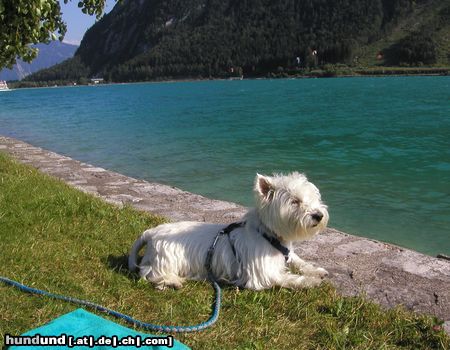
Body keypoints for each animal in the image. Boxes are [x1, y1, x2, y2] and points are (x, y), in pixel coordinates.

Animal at [128, 172, 328, 290]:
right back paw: (173, 281)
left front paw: (317, 271)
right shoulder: (263, 273)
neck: (268, 233)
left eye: (314, 198)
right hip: (165, 259)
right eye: (295, 201)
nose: (318, 215)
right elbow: (289, 278)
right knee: (151, 273)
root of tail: (151, 233)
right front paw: (312, 281)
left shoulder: (288, 254)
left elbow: (299, 261)